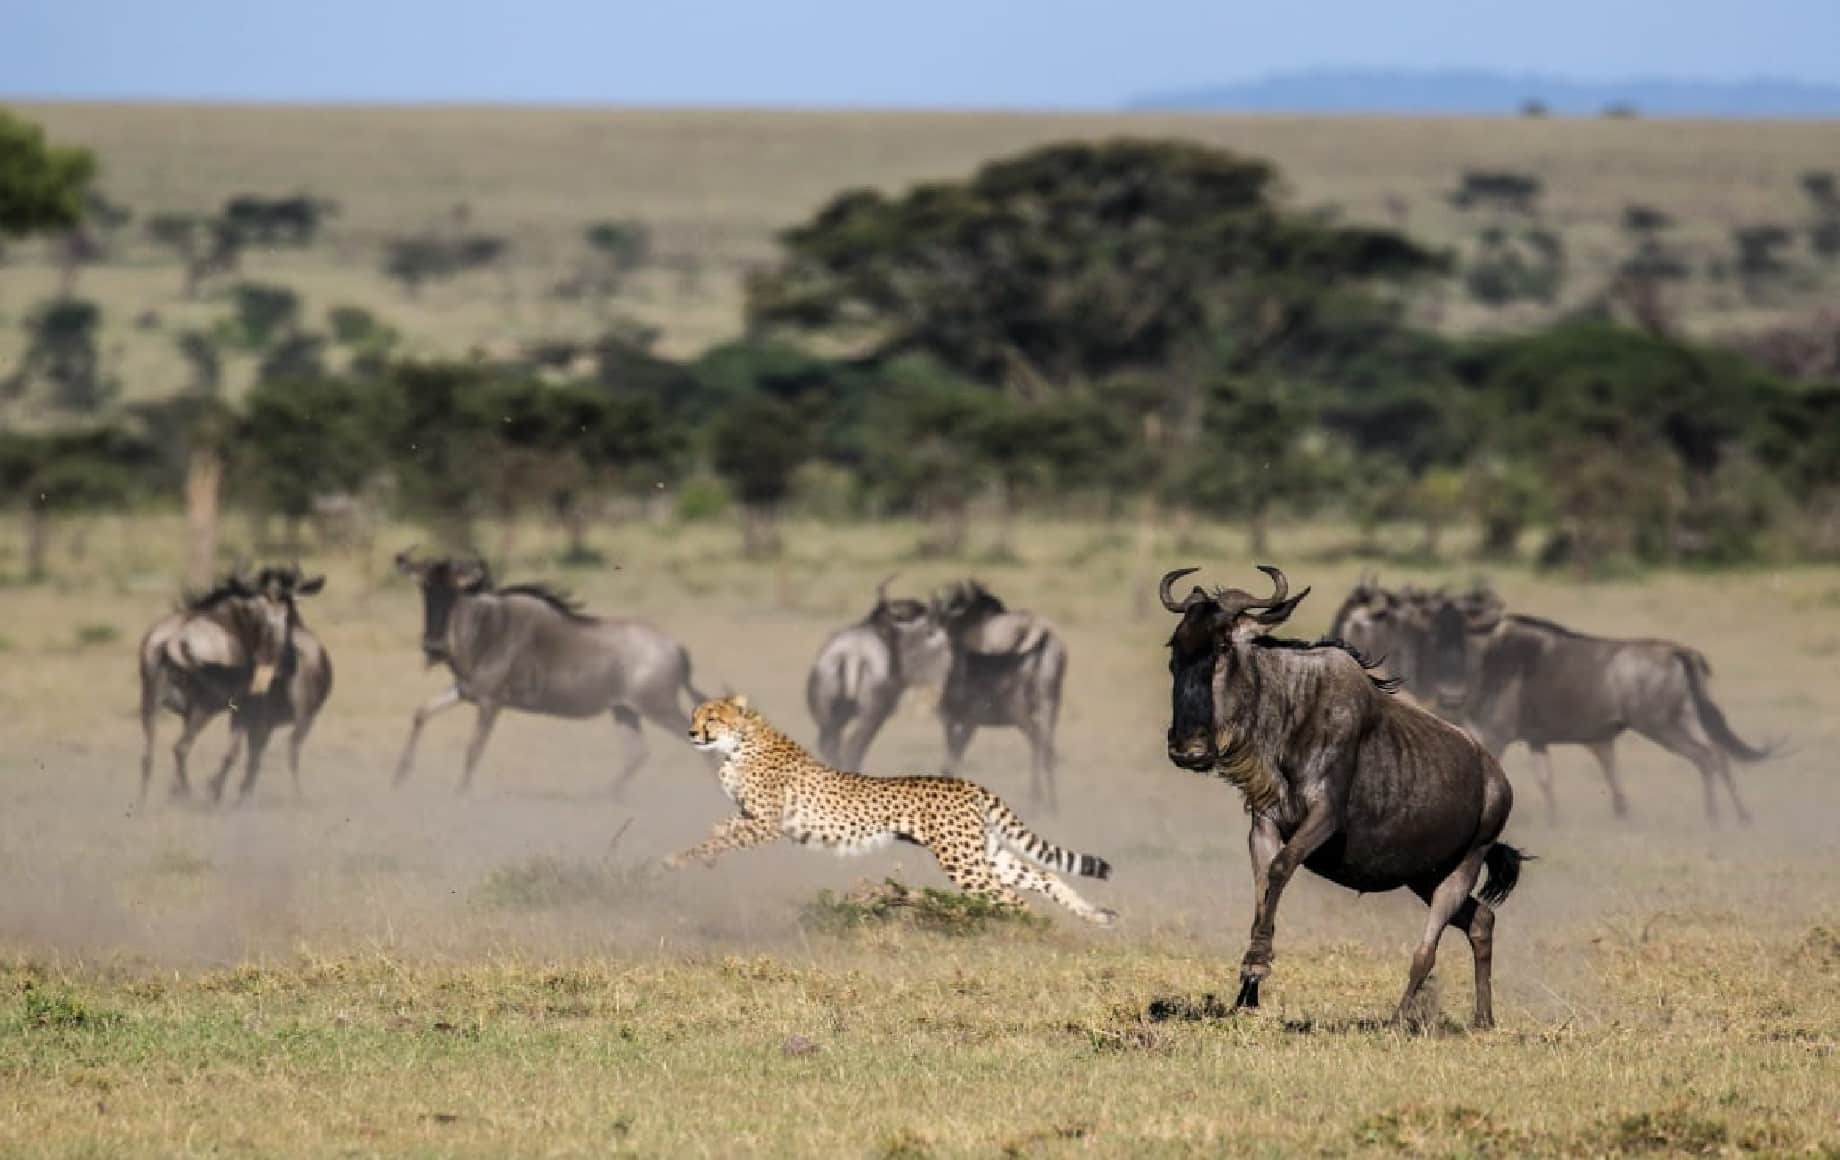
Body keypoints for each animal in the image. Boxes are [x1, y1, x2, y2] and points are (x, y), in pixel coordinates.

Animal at [666, 699, 1111, 928]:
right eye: (693, 716)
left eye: (711, 717)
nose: (690, 732)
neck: (740, 743)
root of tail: (967, 783)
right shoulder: (753, 819)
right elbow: (721, 828)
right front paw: (698, 856)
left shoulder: (769, 825)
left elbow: (721, 839)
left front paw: (680, 860)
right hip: (984, 853)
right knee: (1044, 875)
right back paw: (1093, 914)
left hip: (963, 862)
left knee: (1014, 898)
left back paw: (1031, 932)